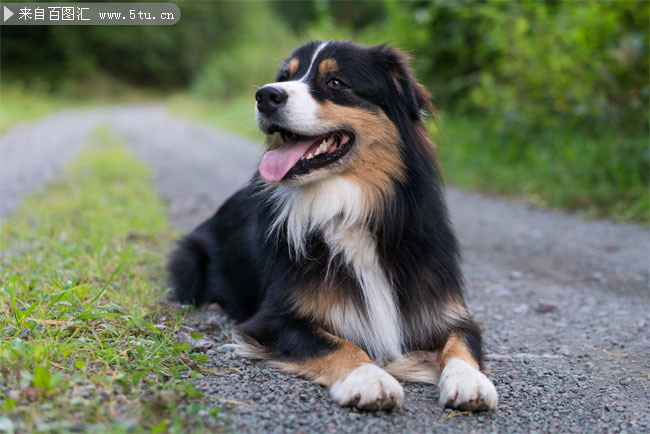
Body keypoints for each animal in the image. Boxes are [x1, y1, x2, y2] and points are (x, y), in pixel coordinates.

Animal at [167, 41, 496, 414]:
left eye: (336, 82)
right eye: (285, 77)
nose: (265, 96)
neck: (348, 209)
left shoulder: (446, 311)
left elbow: (461, 343)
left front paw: (470, 381)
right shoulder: (273, 319)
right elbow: (340, 344)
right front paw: (370, 379)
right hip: (187, 257)